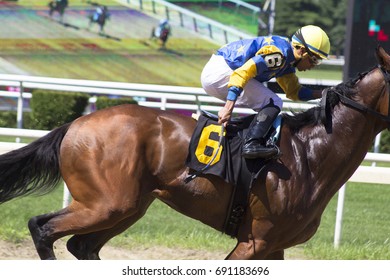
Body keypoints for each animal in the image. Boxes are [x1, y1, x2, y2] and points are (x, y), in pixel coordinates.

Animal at [0, 46, 390, 260]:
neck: (309, 156)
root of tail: (75, 125)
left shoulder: (274, 246)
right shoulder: (256, 241)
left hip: (128, 207)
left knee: (82, 247)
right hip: (105, 205)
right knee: (42, 228)